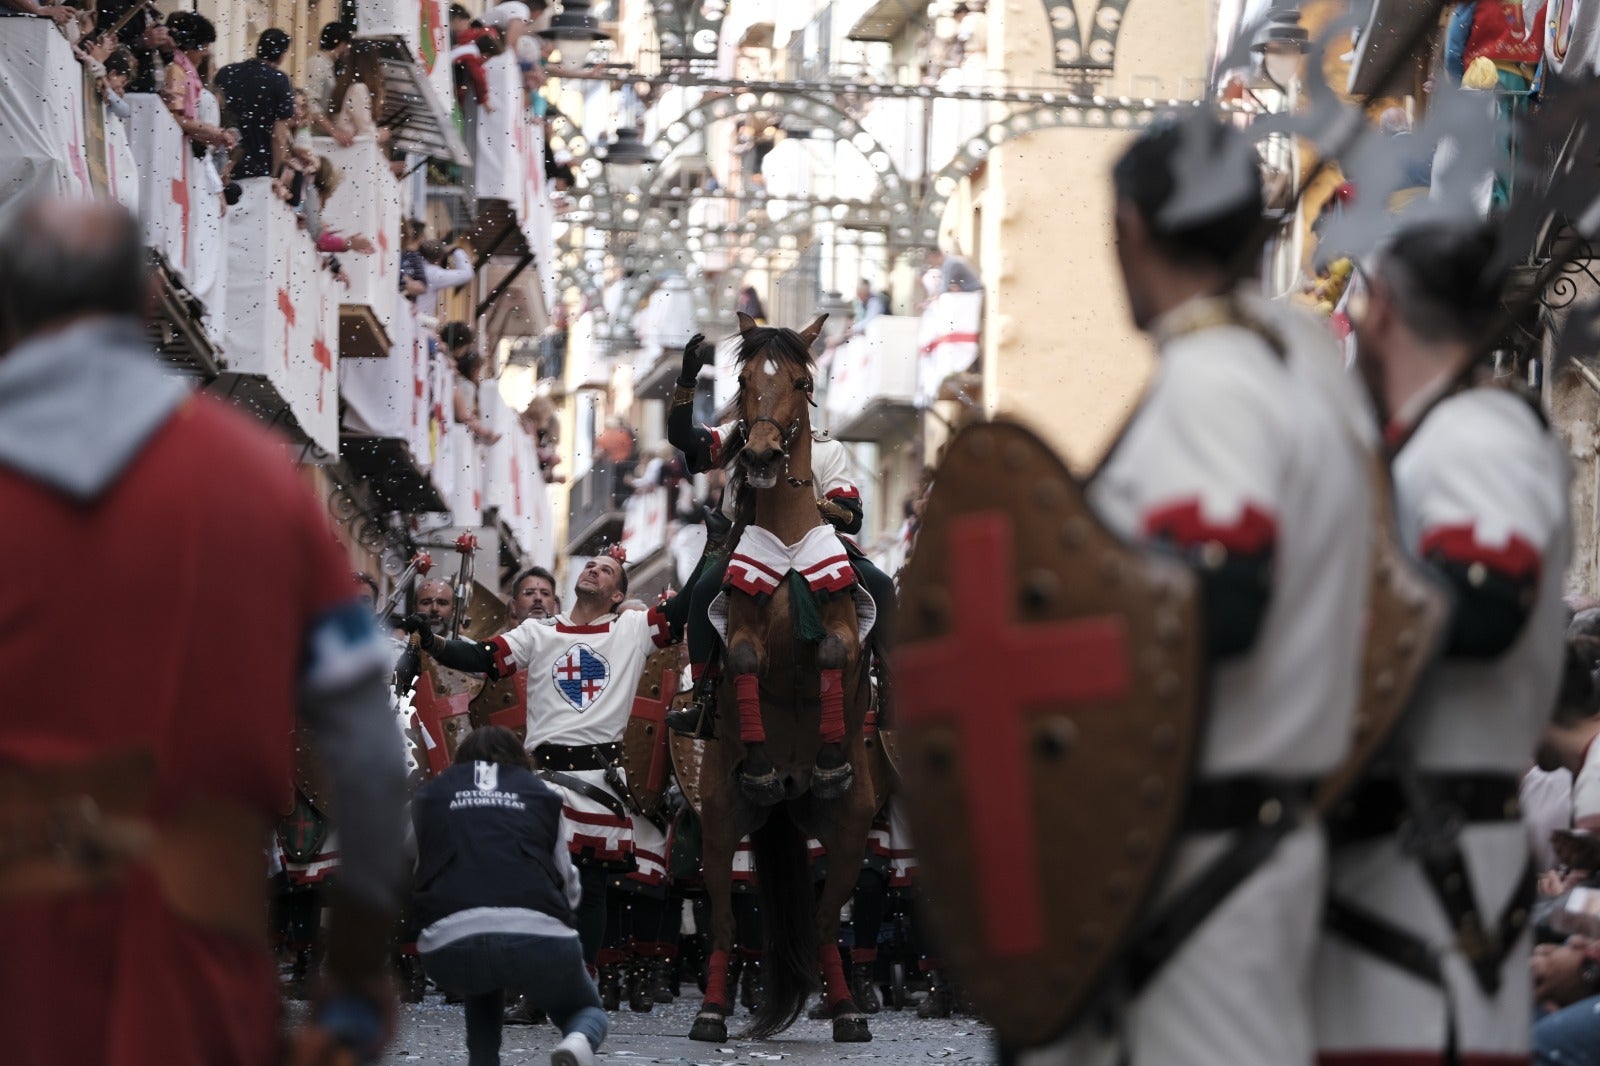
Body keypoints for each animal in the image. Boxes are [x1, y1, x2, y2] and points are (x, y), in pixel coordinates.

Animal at [684, 312, 876, 1043]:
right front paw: (763, 757)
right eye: (742, 382)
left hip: (849, 830)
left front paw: (829, 752)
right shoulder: (740, 627)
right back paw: (710, 1011)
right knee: (722, 923)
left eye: (799, 381)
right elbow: (739, 660)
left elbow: (831, 657)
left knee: (824, 926)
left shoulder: (843, 628)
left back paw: (848, 1009)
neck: (791, 546)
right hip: (719, 821)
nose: (761, 454)